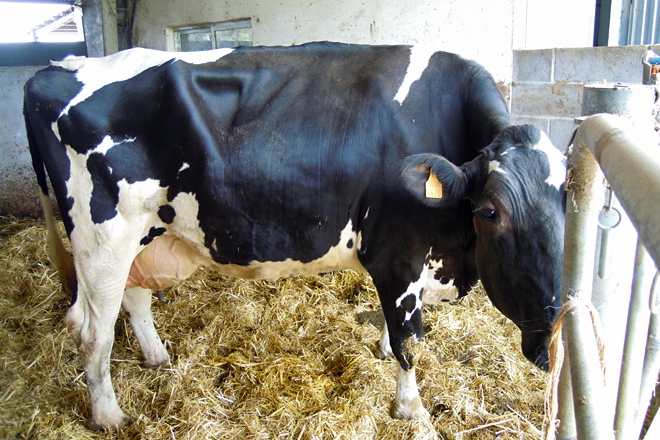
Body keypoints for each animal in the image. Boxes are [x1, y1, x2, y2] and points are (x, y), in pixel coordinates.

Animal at [23, 42, 566, 430]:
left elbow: (398, 333)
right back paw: (109, 416)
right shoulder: (397, 255)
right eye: (491, 211)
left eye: (573, 206)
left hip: (145, 232)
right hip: (102, 236)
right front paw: (411, 410)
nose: (552, 341)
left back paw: (157, 358)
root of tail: (53, 69)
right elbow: (410, 340)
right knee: (92, 331)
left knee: (132, 299)